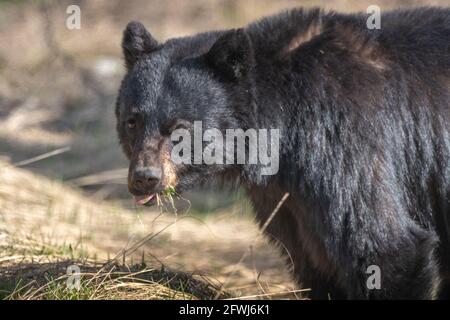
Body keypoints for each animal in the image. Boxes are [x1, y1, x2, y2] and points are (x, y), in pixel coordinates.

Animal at [116, 6, 450, 298]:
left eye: (179, 129)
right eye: (132, 121)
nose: (144, 178)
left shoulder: (341, 138)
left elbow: (384, 244)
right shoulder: (284, 197)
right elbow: (313, 260)